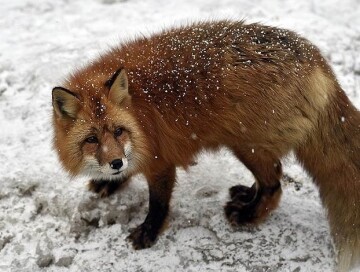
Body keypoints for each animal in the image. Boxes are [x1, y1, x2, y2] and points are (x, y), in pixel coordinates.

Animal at [52, 20, 360, 270]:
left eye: (118, 131)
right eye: (91, 139)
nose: (116, 163)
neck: (139, 110)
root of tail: (315, 58)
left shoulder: (160, 161)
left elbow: (158, 204)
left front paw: (149, 232)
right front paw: (112, 181)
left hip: (246, 145)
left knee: (275, 184)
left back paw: (248, 215)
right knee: (271, 178)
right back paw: (246, 195)